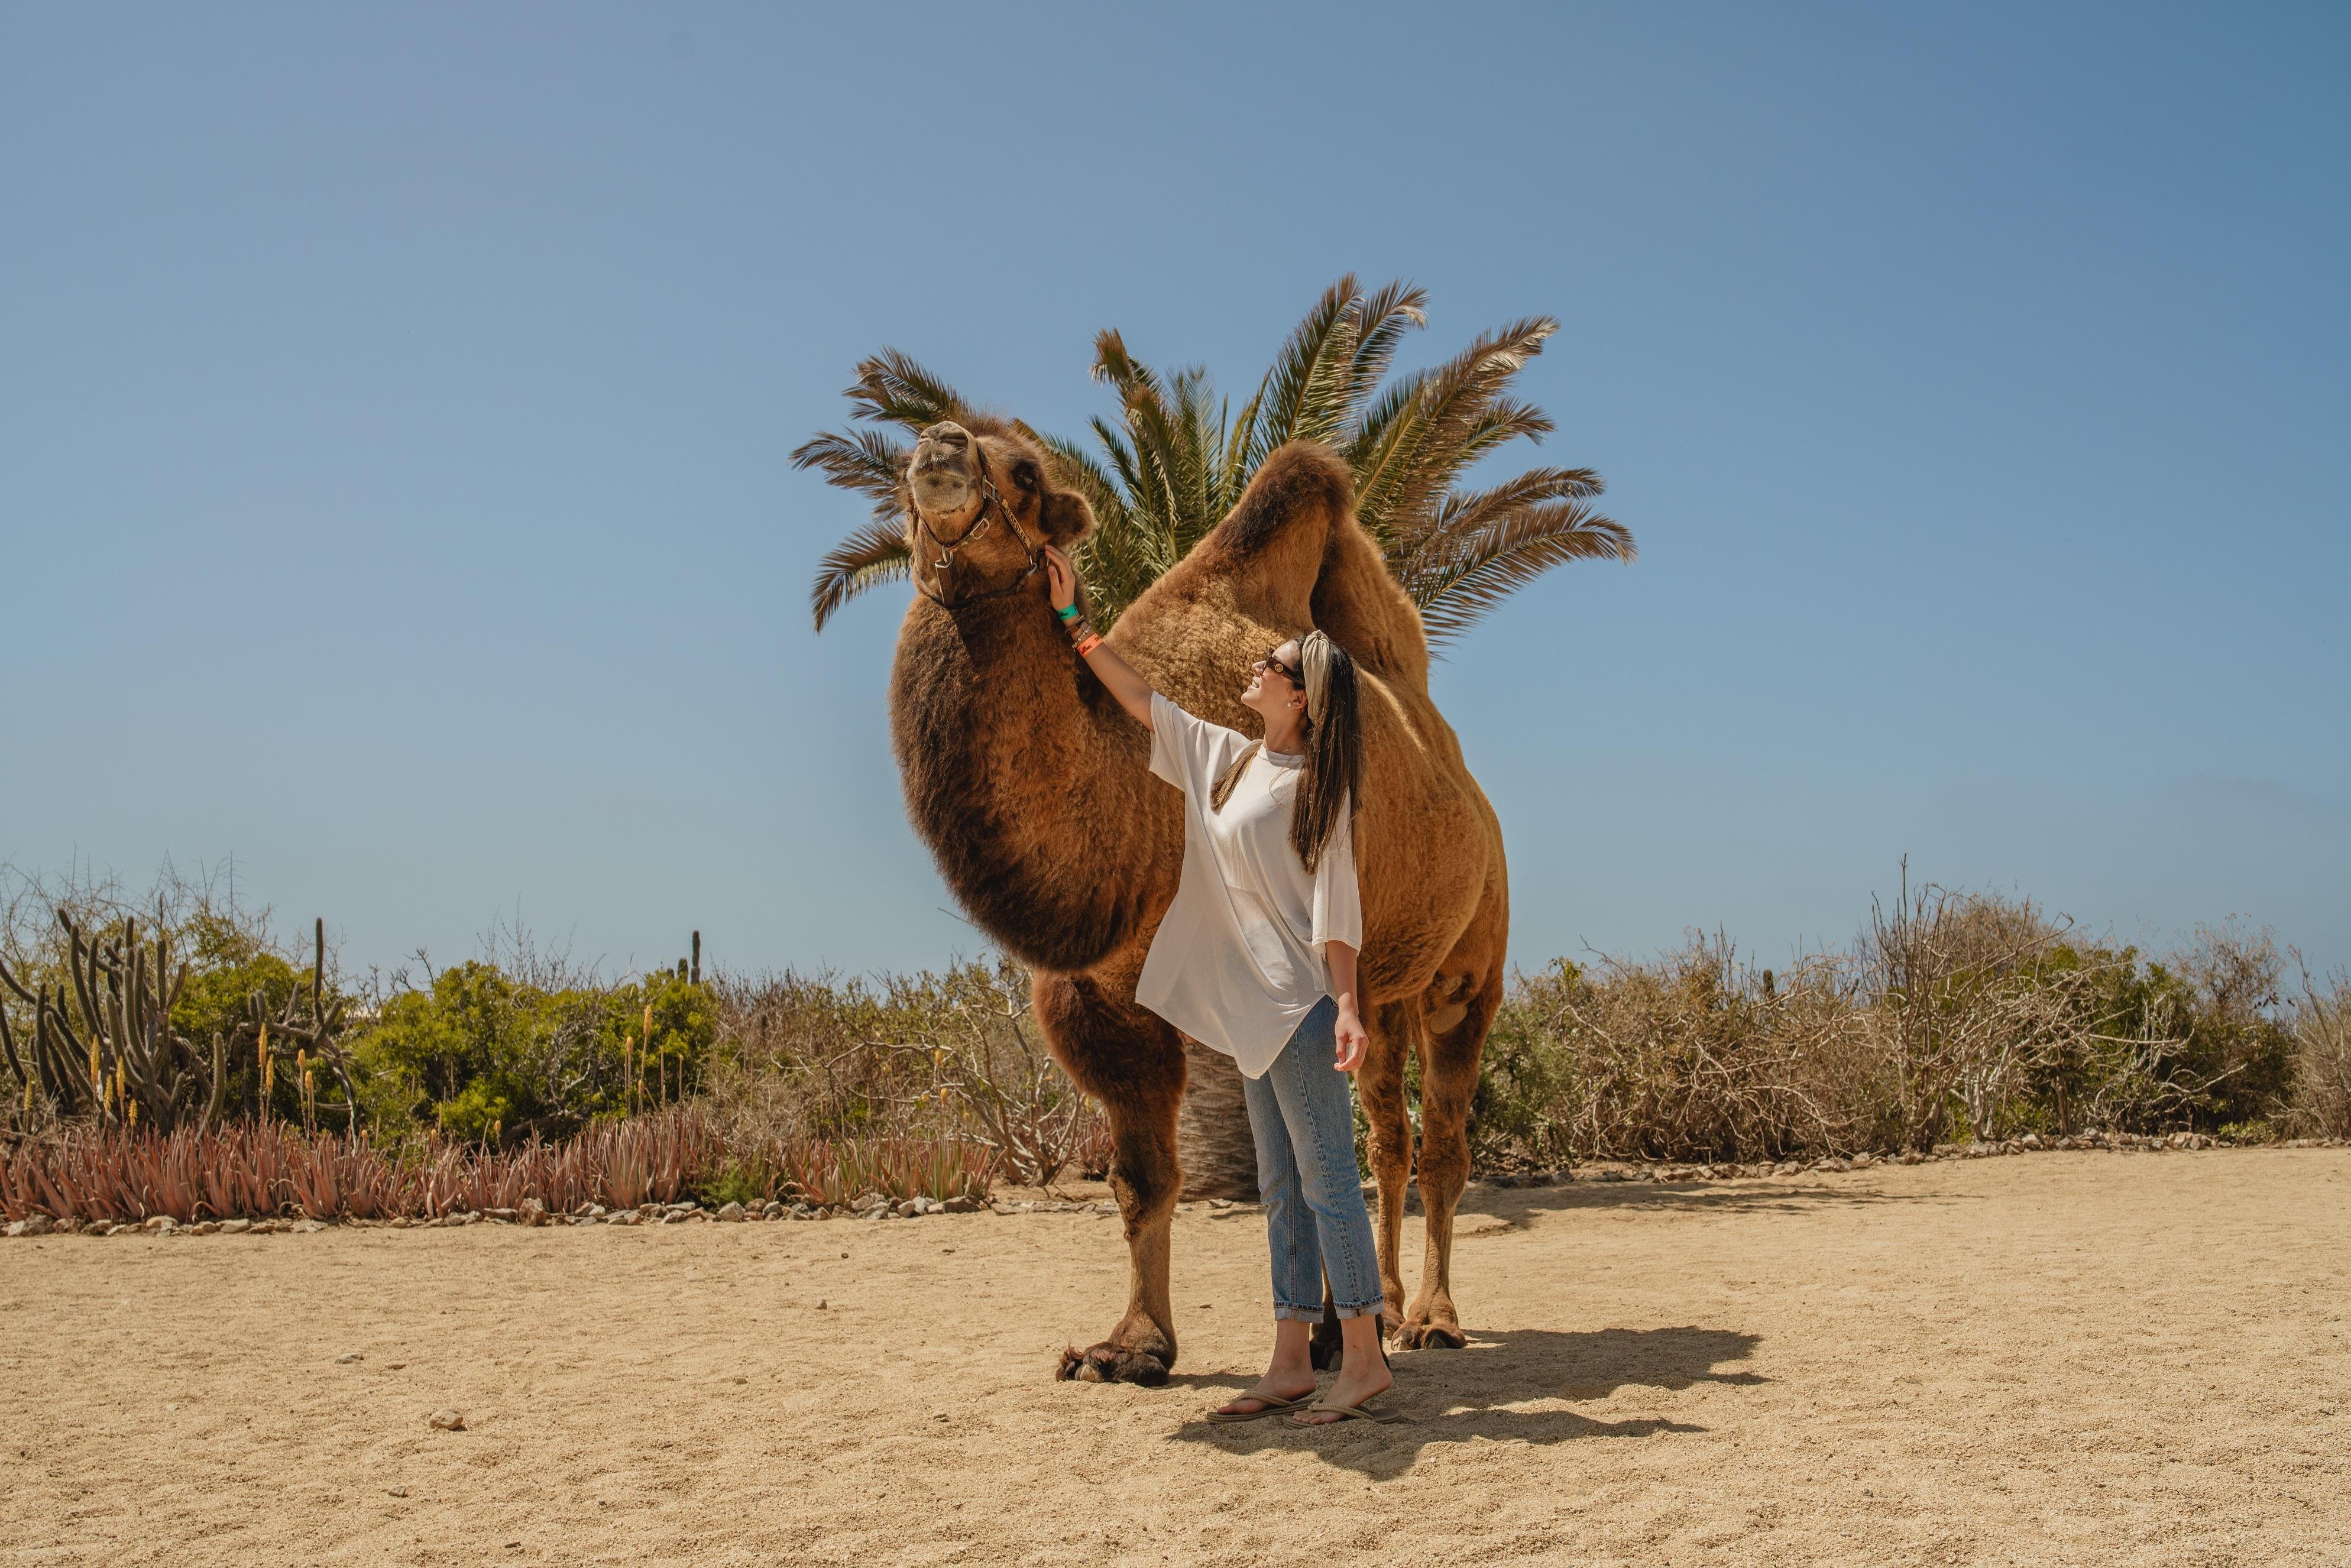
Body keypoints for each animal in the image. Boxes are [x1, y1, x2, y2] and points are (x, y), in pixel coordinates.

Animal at [888, 417, 1508, 1384]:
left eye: (1024, 471)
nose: (938, 448)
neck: (1145, 816)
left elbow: (1294, 1160)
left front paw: (1316, 1337)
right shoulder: (1096, 1003)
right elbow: (1143, 1179)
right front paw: (1130, 1347)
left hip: (1468, 970)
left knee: (1441, 1137)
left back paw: (1432, 1321)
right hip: (1380, 993)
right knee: (1387, 1137)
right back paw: (1379, 1310)